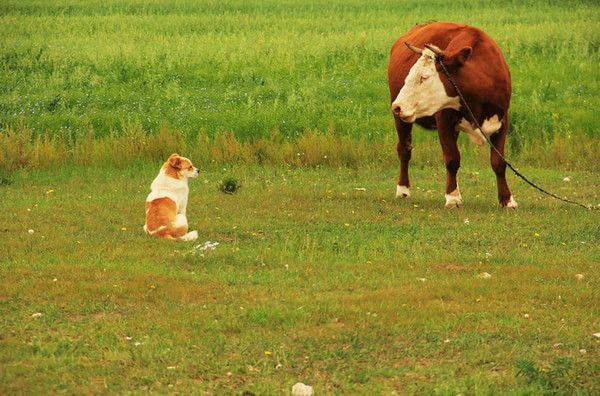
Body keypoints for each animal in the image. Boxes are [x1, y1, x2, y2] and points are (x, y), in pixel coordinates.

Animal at [390, 22, 516, 209]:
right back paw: (403, 190)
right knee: (405, 150)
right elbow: (452, 159)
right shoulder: (444, 120)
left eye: (424, 77)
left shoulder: (502, 121)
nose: (397, 106)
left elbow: (498, 162)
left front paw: (507, 200)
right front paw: (452, 197)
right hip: (402, 121)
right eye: (410, 73)